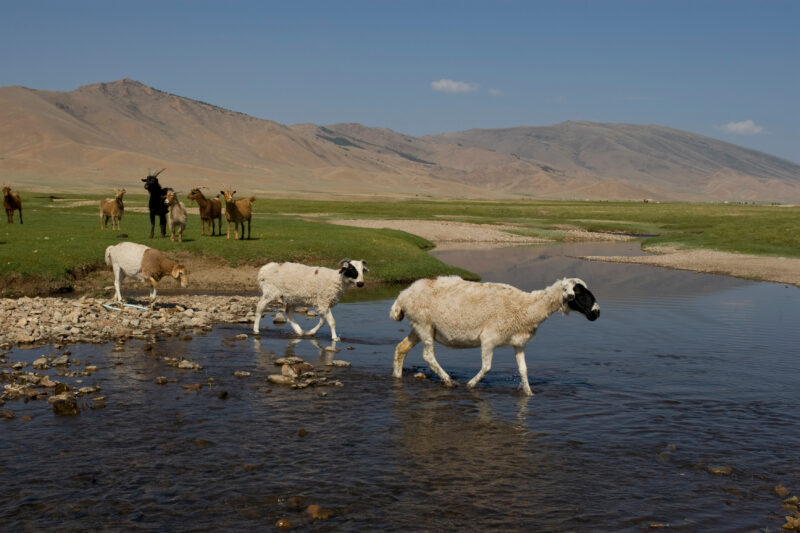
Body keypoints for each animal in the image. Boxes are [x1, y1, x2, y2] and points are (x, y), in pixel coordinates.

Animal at [389, 276, 600, 396]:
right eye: (579, 292)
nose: (597, 313)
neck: (526, 307)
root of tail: (402, 295)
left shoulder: (518, 343)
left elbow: (524, 370)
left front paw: (529, 393)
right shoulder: (489, 338)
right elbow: (487, 367)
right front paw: (470, 385)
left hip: (418, 327)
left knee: (401, 348)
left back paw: (397, 377)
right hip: (423, 324)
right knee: (428, 356)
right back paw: (448, 381)